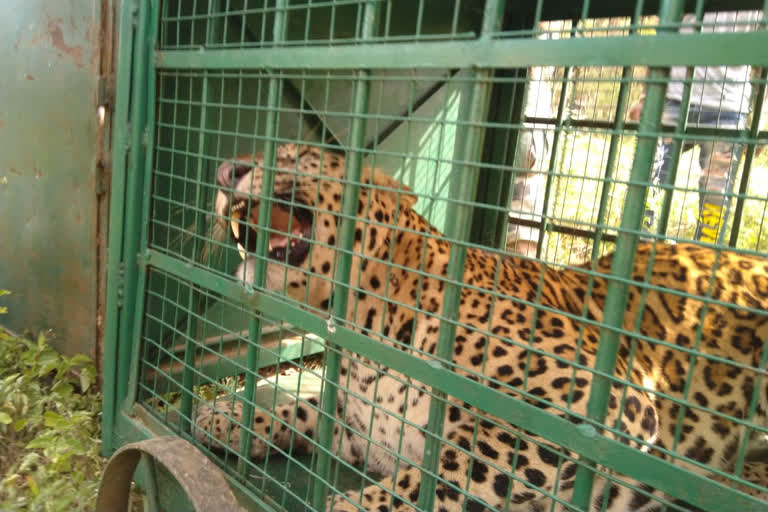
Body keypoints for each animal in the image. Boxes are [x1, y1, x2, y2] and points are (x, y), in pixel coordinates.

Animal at [195, 144, 768, 512]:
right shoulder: (360, 432)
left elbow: (452, 465)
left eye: (295, 157)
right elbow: (298, 406)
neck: (368, 329)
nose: (223, 172)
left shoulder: (604, 404)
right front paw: (226, 417)